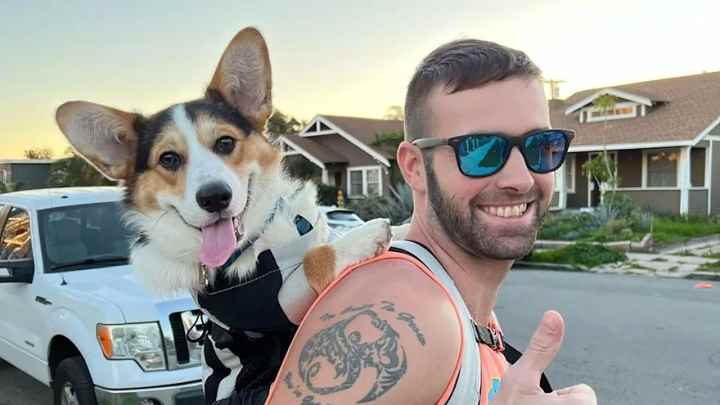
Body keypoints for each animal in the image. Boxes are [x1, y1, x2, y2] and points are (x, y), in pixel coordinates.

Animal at [55, 27, 394, 400]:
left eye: (225, 143)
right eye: (168, 159)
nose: (214, 197)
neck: (256, 243)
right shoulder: (269, 302)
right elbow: (313, 259)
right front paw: (366, 235)